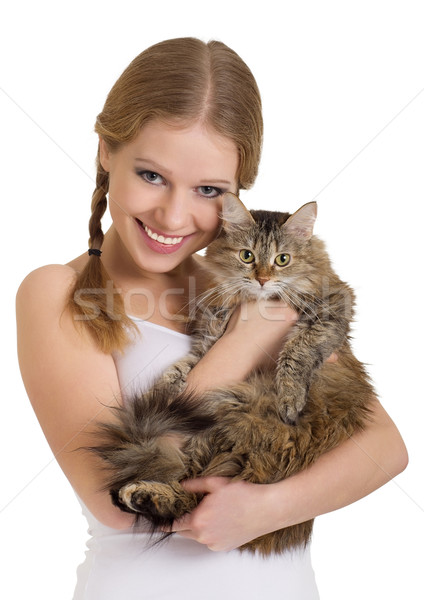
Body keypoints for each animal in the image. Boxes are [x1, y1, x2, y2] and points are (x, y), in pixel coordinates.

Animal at [91, 192, 376, 552]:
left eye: (283, 259)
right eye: (247, 256)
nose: (263, 279)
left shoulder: (332, 308)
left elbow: (297, 352)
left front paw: (289, 398)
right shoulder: (210, 335)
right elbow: (185, 366)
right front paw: (166, 387)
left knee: (192, 496)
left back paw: (140, 494)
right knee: (189, 493)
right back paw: (139, 494)